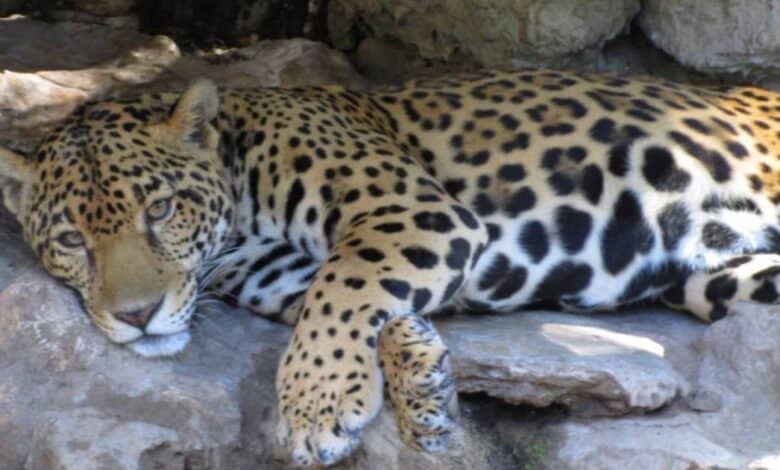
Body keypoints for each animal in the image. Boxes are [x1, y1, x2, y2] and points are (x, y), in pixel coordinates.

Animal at [3, 69, 780, 467]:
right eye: (71, 238)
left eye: (161, 209)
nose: (137, 317)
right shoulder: (276, 272)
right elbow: (340, 302)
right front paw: (421, 380)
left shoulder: (410, 209)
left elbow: (343, 288)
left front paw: (313, 408)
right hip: (720, 277)